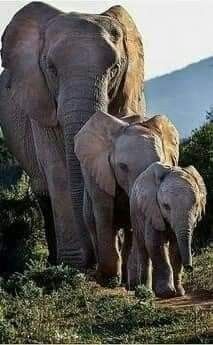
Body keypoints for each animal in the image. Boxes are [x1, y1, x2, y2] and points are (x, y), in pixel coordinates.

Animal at [0, 1, 145, 268]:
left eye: (115, 69)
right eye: (51, 69)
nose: (93, 258)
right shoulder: (40, 100)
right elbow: (57, 168)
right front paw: (74, 264)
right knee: (43, 191)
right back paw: (54, 262)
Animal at [130, 160, 206, 296]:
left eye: (197, 206)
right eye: (166, 206)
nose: (190, 267)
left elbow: (176, 249)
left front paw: (180, 292)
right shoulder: (152, 210)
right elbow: (155, 244)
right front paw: (166, 293)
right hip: (135, 214)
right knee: (142, 249)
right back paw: (145, 292)